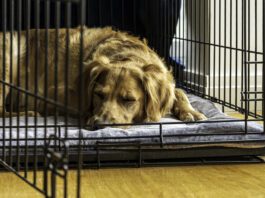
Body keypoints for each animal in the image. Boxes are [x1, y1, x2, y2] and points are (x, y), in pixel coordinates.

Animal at [0, 26, 205, 128]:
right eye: (98, 94)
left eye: (129, 100)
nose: (100, 124)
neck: (126, 55)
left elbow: (179, 92)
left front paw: (191, 111)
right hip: (8, 62)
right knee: (1, 112)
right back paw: (27, 113)